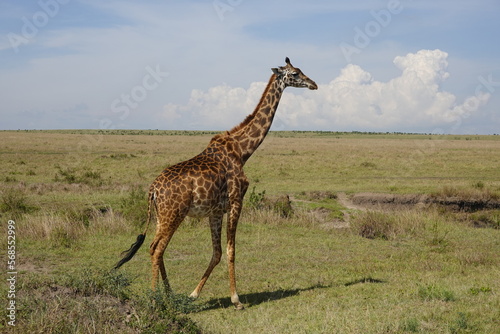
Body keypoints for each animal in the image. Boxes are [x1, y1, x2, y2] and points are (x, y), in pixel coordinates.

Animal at [114, 56, 316, 310]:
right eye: (296, 73)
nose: (314, 84)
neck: (242, 150)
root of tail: (152, 190)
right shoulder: (237, 201)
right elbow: (231, 250)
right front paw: (236, 300)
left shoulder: (216, 211)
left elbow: (217, 252)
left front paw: (193, 294)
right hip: (173, 214)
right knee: (157, 249)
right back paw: (154, 299)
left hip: (161, 215)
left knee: (154, 247)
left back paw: (170, 294)